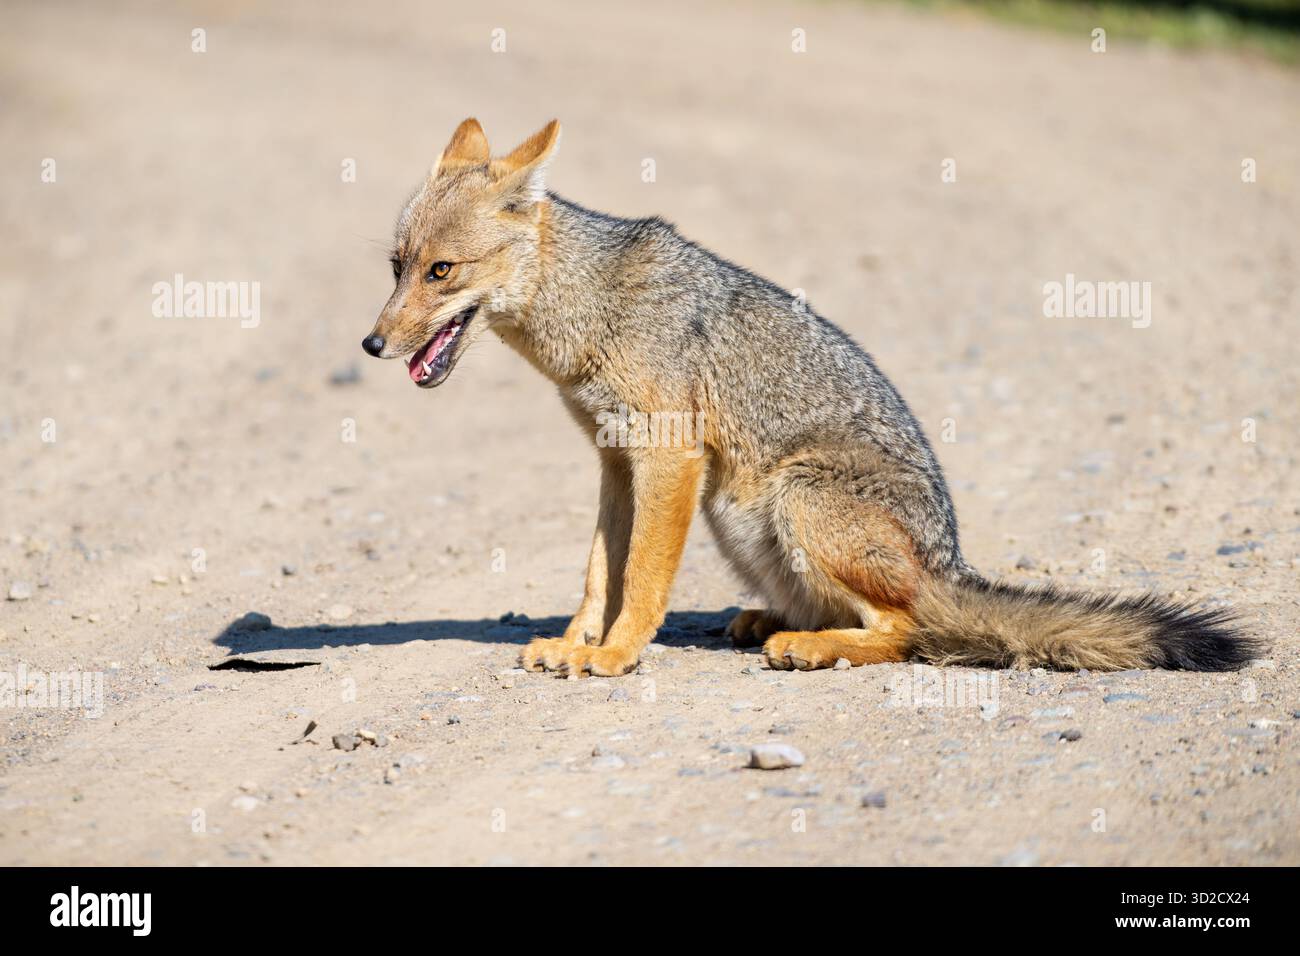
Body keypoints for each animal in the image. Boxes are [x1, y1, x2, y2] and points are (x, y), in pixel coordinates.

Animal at [362, 117, 1257, 677]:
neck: (593, 307)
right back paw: (777, 620)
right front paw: (575, 642)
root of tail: (951, 562)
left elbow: (641, 581)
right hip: (739, 514)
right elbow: (597, 574)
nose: (372, 345)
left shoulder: (670, 458)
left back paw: (812, 644)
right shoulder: (616, 459)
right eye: (396, 267)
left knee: (908, 630)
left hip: (790, 498)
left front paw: (614, 656)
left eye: (442, 272)